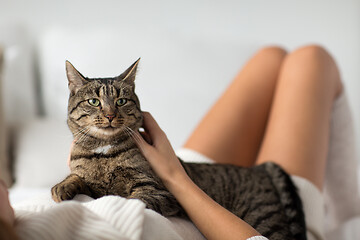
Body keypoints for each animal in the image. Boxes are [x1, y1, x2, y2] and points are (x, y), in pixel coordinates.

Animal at [52, 58, 306, 240]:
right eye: (94, 102)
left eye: (121, 101)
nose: (110, 115)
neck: (103, 151)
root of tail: (258, 168)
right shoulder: (91, 184)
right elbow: (77, 177)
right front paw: (61, 187)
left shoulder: (157, 190)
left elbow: (134, 199)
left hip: (265, 219)